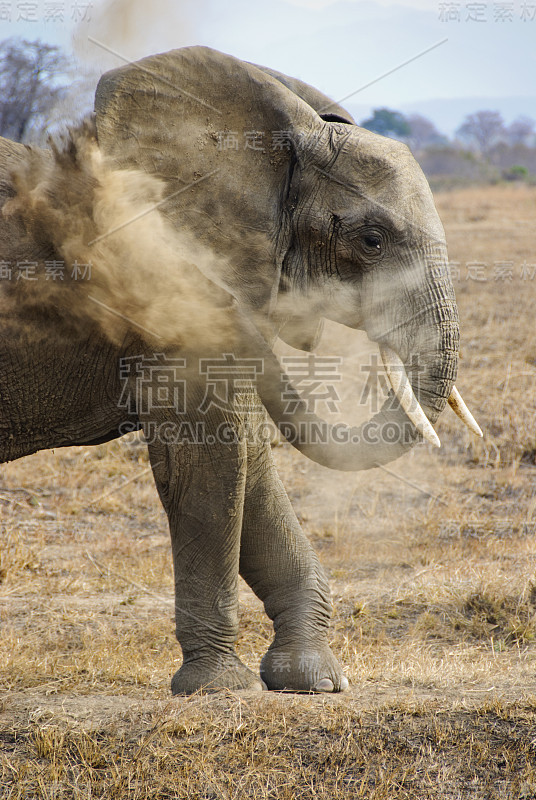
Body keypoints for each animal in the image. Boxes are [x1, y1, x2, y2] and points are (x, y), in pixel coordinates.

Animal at [0, 47, 480, 692]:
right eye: (372, 240)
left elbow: (249, 456)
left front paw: (312, 681)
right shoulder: (173, 294)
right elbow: (213, 458)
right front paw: (220, 688)